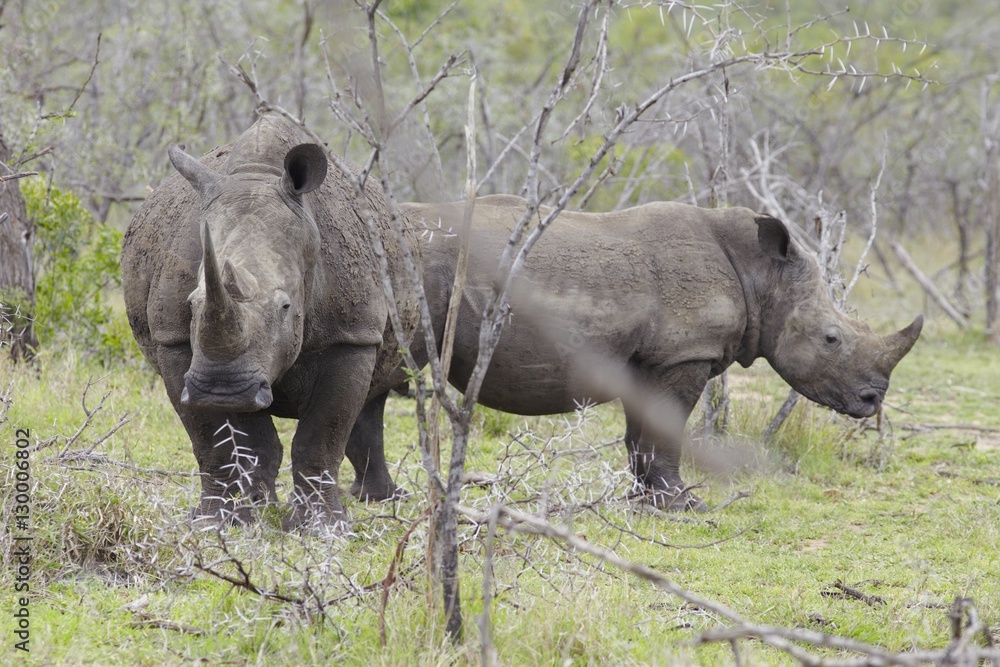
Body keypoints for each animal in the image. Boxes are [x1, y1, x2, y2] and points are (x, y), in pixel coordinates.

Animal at [121, 116, 419, 529]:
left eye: (285, 307)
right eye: (192, 304)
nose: (223, 389)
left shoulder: (351, 335)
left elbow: (322, 434)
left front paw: (322, 529)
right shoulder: (174, 339)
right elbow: (210, 438)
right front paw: (216, 522)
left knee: (375, 396)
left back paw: (377, 500)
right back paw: (259, 505)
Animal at [349, 195, 923, 510]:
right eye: (832, 339)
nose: (873, 400)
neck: (762, 276)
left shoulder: (650, 358)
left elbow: (639, 433)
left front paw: (647, 498)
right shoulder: (685, 354)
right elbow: (666, 429)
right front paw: (684, 505)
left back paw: (381, 498)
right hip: (410, 270)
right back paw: (385, 497)